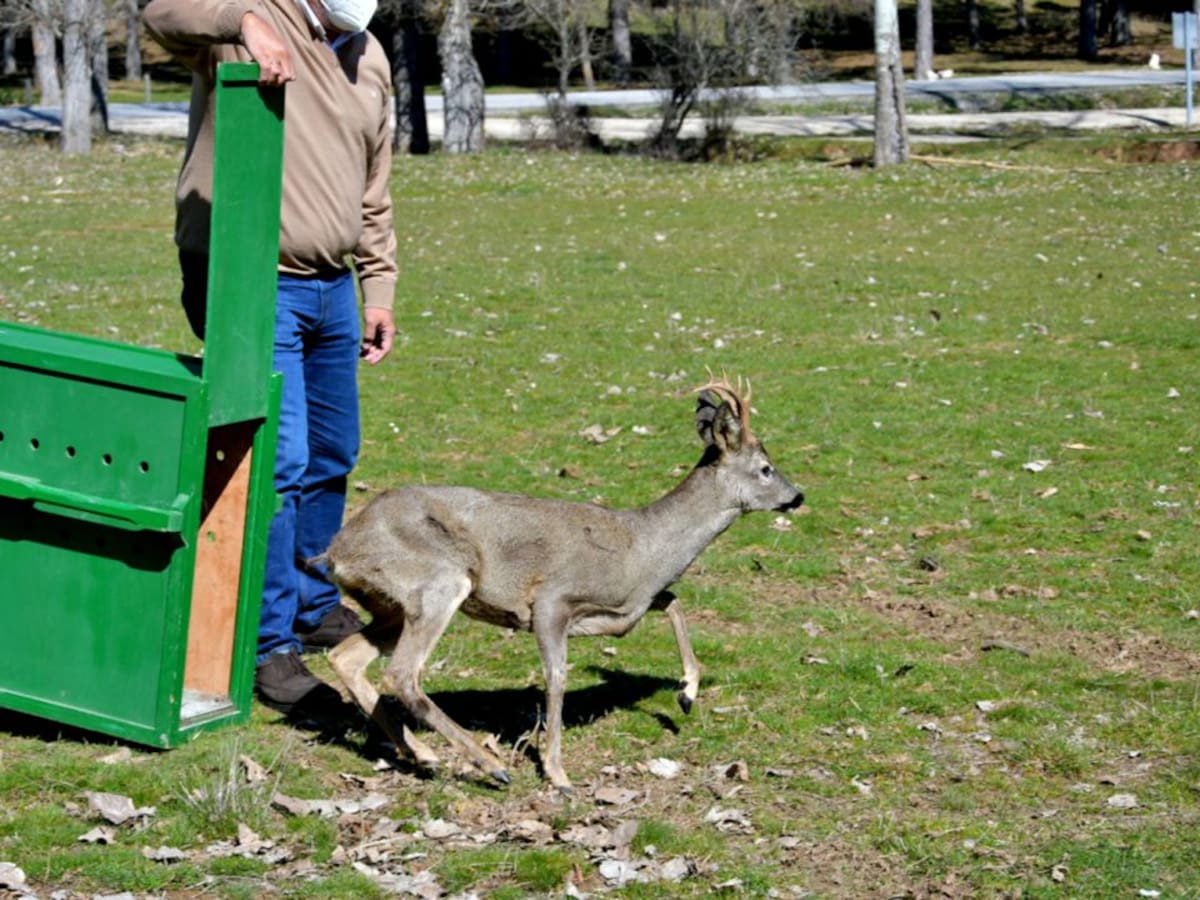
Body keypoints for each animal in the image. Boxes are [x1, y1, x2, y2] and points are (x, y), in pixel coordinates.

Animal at [321, 375, 803, 791]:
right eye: (765, 468)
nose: (797, 496)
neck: (641, 547)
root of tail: (337, 551)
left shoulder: (626, 605)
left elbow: (672, 600)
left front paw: (687, 691)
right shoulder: (552, 598)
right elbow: (556, 677)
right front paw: (557, 772)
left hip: (390, 605)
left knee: (345, 657)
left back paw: (424, 753)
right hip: (439, 583)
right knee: (403, 674)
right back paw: (489, 765)